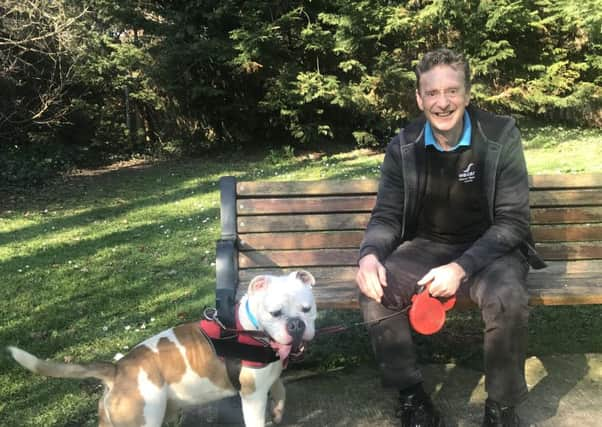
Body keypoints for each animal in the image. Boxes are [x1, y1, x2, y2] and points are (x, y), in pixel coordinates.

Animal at [7, 272, 316, 426]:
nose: (296, 325)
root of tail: (117, 369)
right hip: (143, 420)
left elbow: (281, 390)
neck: (247, 328)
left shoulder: (270, 379)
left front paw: (277, 413)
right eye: (275, 313)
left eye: (307, 309)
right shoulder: (252, 395)